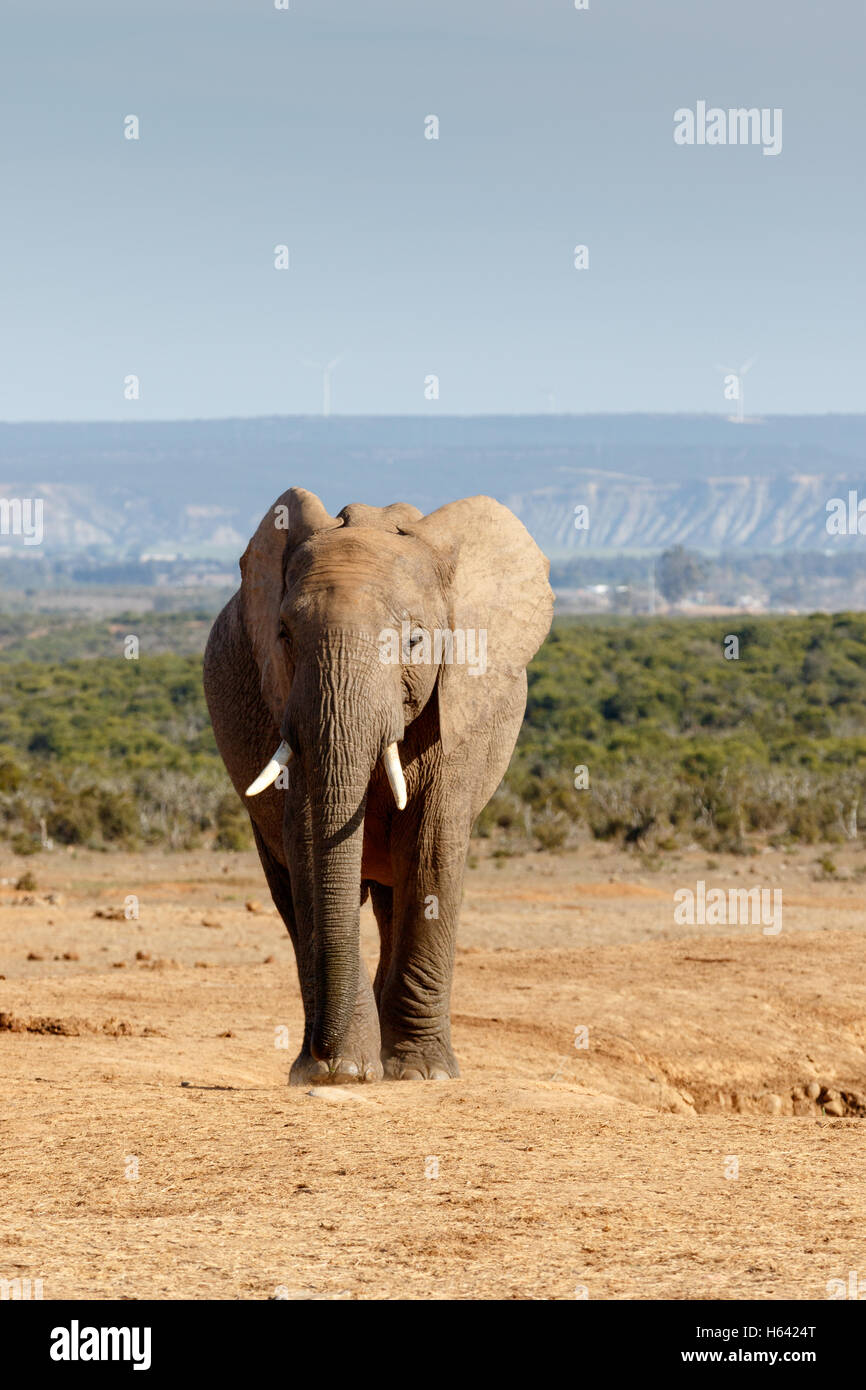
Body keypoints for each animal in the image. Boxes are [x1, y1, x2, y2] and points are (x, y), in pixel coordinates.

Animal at [203, 487, 553, 1084]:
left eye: (413, 640)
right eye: (283, 636)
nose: (325, 1057)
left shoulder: (461, 702)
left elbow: (433, 846)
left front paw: (422, 1074)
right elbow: (305, 841)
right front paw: (342, 1071)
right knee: (290, 889)